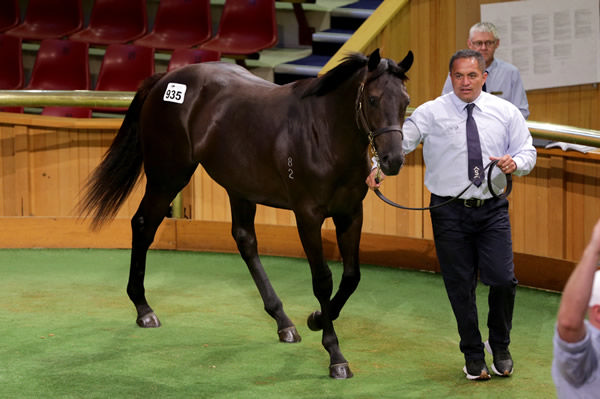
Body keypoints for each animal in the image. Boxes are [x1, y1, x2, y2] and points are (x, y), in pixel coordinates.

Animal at [79, 48, 412, 380]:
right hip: (168, 177)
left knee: (245, 241)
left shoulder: (350, 214)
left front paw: (317, 317)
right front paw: (335, 355)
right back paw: (144, 309)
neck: (323, 133)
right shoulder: (308, 216)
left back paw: (283, 322)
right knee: (143, 225)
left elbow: (352, 277)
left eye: (406, 101)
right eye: (373, 99)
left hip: (237, 187)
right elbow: (322, 280)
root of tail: (165, 80)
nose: (393, 160)